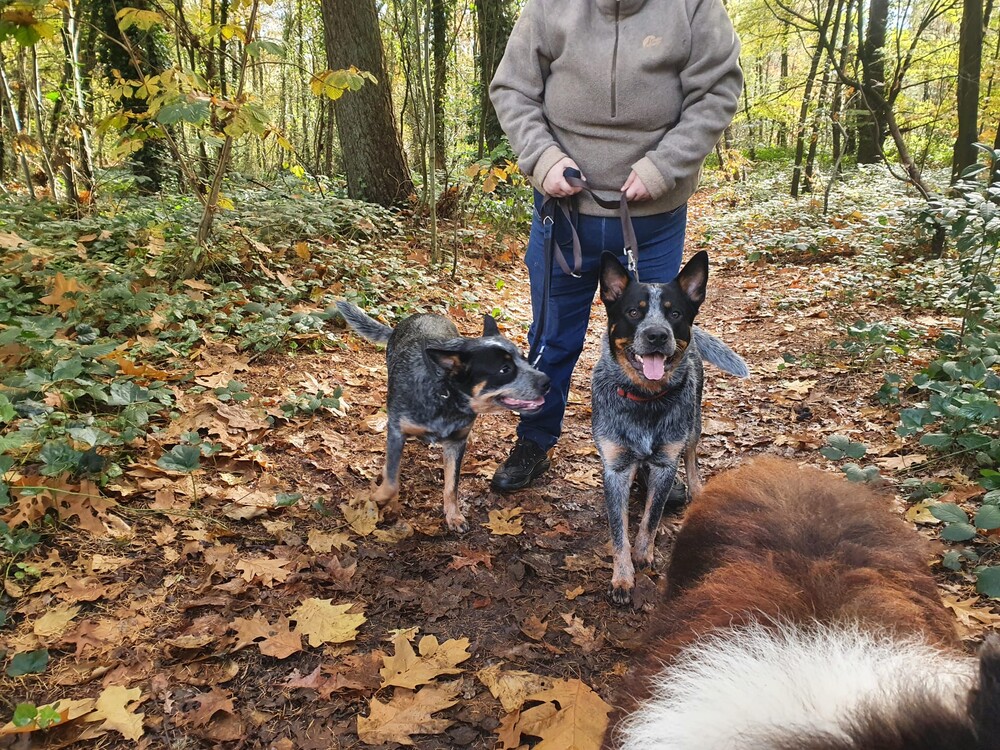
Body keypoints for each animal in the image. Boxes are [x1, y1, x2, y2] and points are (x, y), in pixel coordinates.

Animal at [336, 301, 550, 532]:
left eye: (525, 358)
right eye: (505, 369)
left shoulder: (456, 443)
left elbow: (451, 485)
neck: (445, 396)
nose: (547, 381)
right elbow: (392, 480)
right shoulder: (396, 431)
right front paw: (379, 498)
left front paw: (453, 515)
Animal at [592, 250, 715, 606]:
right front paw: (622, 578)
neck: (644, 400)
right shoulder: (615, 468)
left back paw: (697, 489)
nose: (657, 334)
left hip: (693, 423)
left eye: (674, 313)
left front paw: (644, 554)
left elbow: (651, 516)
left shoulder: (664, 464)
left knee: (691, 455)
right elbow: (619, 532)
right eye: (634, 312)